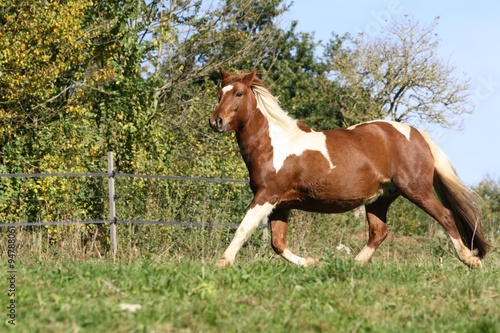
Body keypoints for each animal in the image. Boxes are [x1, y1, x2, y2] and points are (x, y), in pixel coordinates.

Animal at [207, 67, 488, 268]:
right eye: (219, 94)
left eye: (239, 94)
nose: (215, 121)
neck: (273, 145)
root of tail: (417, 134)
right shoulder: (281, 204)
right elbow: (277, 244)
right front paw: (312, 262)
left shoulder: (266, 196)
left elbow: (243, 229)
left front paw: (222, 263)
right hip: (379, 199)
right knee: (379, 232)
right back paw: (353, 264)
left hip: (416, 190)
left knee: (446, 216)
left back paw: (470, 259)